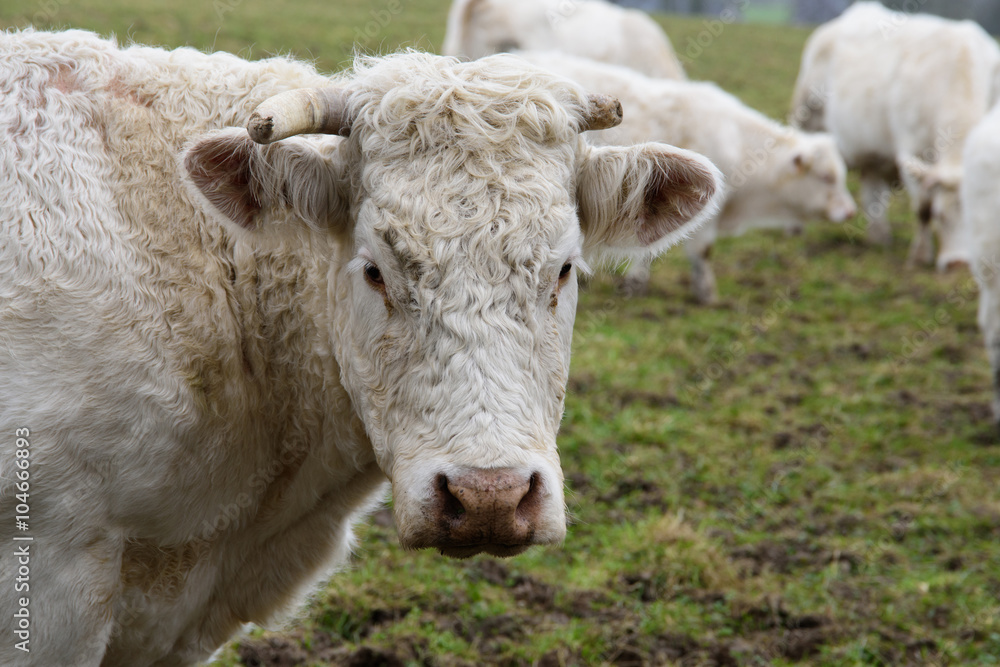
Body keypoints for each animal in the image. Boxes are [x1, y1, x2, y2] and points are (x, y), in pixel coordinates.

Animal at [790, 1, 1000, 269]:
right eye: (940, 215)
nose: (958, 264)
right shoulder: (911, 152)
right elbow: (922, 207)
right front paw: (920, 255)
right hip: (805, 117)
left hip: (870, 153)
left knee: (872, 188)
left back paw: (879, 238)